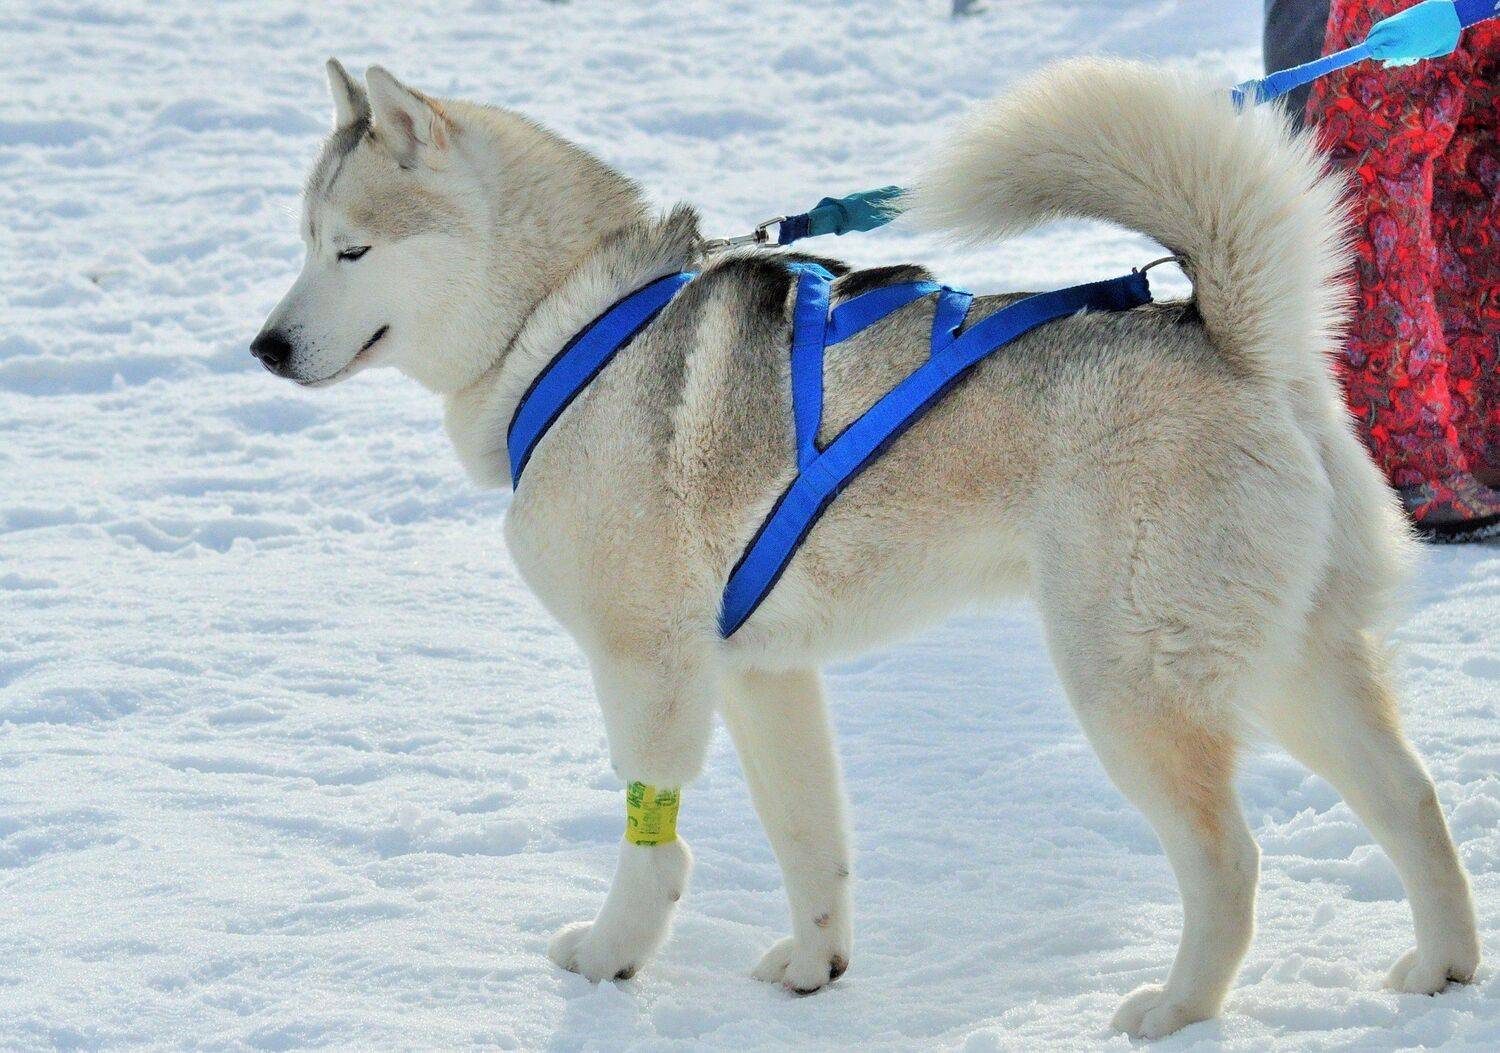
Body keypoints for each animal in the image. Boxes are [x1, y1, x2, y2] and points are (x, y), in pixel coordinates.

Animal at [252, 57, 1480, 1038]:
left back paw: (1177, 1011)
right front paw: (814, 966)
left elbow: (655, 841)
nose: (263, 347)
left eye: (350, 247)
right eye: (305, 242)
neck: (562, 318)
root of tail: (1238, 342)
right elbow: (811, 838)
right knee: (1414, 801)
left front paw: (611, 958)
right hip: (1291, 662)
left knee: (1230, 861)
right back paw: (1445, 968)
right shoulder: (763, 672)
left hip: (1130, 680)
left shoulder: (649, 667)